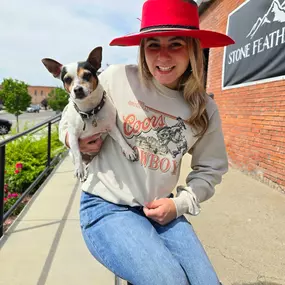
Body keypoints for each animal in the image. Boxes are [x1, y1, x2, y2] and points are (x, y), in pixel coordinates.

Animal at [41, 46, 136, 180]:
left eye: (87, 75)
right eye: (67, 79)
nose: (77, 89)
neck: (89, 111)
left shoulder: (112, 127)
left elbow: (121, 139)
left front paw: (128, 151)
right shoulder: (73, 137)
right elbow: (77, 154)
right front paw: (79, 170)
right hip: (71, 153)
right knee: (79, 159)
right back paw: (82, 169)